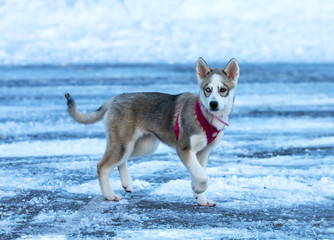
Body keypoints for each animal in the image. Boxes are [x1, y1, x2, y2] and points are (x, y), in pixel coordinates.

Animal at [64, 58, 237, 206]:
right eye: (207, 90)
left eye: (223, 90)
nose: (213, 104)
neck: (204, 115)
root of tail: (118, 97)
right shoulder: (184, 149)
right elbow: (202, 175)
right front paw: (199, 189)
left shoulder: (202, 153)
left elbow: (199, 173)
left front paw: (200, 198)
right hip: (124, 143)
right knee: (102, 166)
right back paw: (109, 195)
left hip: (141, 146)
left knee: (121, 161)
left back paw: (126, 183)